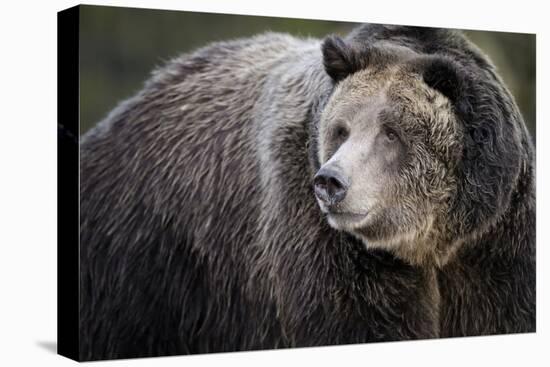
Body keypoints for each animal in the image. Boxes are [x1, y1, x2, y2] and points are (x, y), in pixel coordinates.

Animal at [80, 24, 536, 360]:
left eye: (391, 132)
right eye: (341, 129)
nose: (330, 182)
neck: (428, 241)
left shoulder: (495, 242)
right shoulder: (322, 238)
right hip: (147, 257)